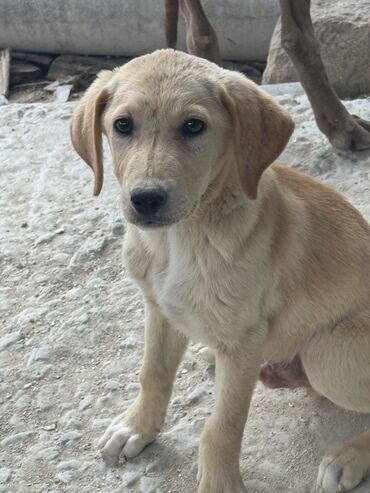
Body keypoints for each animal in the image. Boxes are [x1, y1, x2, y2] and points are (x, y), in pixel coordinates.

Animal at [71, 50, 370, 492]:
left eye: (194, 126)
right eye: (122, 125)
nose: (146, 199)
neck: (179, 240)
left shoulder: (243, 339)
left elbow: (222, 426)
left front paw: (219, 482)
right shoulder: (159, 308)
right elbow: (153, 372)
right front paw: (137, 426)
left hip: (327, 354)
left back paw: (349, 456)